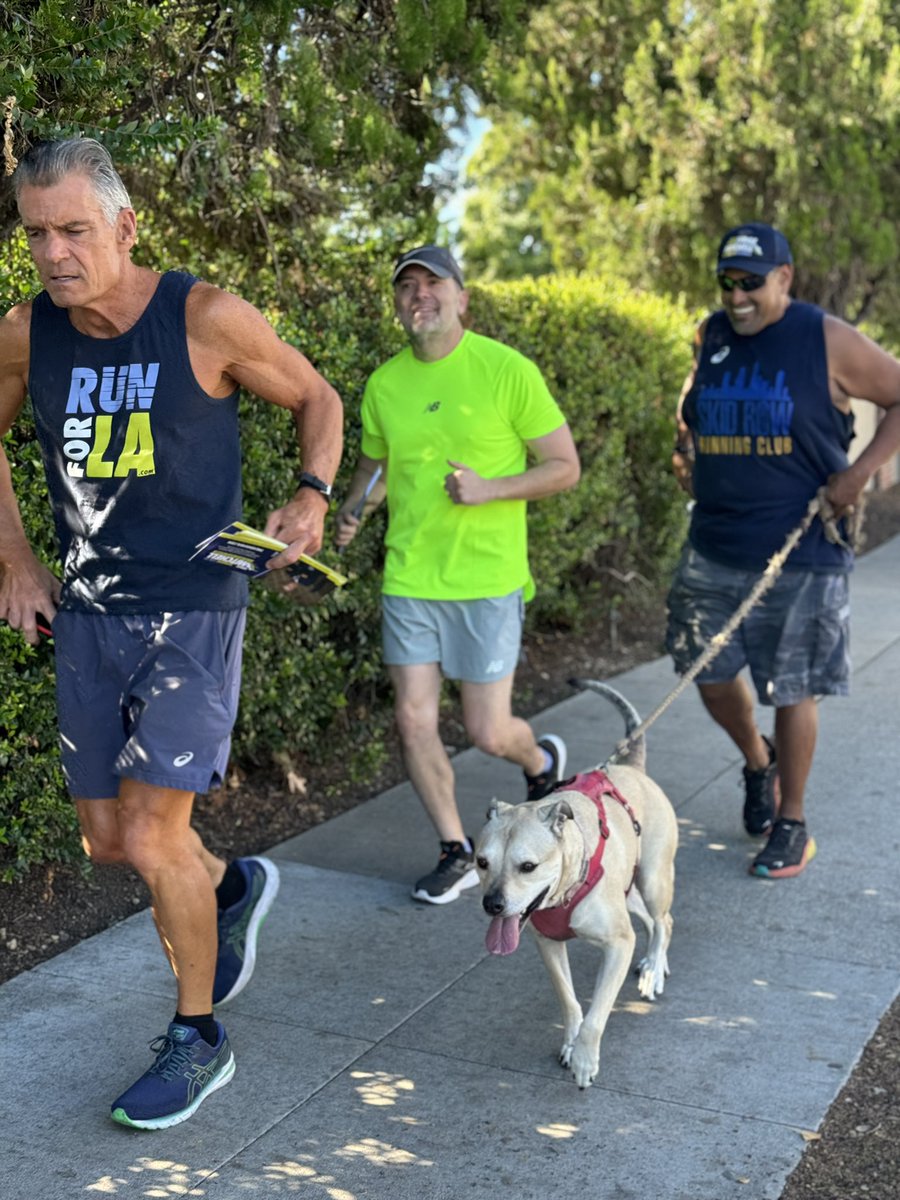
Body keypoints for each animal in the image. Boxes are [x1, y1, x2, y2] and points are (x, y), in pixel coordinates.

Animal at [480, 686, 676, 1089]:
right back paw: (652, 962)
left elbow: (597, 1013)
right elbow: (569, 1001)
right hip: (630, 895)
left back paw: (653, 968)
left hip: (652, 880)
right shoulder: (548, 945)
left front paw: (585, 1058)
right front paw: (571, 1045)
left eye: (528, 866)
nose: (493, 905)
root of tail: (633, 768)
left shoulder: (619, 945)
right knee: (653, 923)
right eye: (481, 862)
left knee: (664, 922)